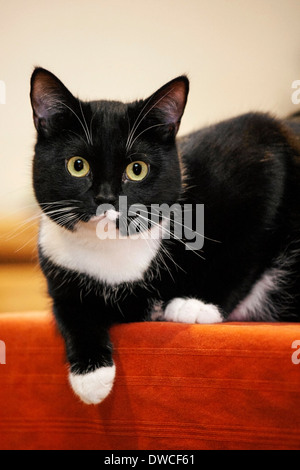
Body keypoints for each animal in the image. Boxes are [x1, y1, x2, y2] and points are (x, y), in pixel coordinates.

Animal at [29, 67, 300, 404]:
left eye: (137, 169)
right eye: (77, 165)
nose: (106, 198)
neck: (112, 255)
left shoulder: (262, 151)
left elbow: (244, 250)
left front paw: (197, 305)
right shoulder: (59, 267)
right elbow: (68, 310)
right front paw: (91, 375)